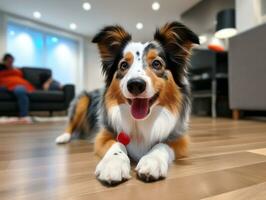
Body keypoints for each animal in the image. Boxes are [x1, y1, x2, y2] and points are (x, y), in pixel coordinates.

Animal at [55, 21, 198, 185]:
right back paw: (63, 137)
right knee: (70, 124)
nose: (135, 84)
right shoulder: (104, 135)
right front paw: (113, 165)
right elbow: (117, 143)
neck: (140, 122)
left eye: (156, 63)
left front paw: (152, 161)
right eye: (123, 65)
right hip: (82, 100)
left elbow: (161, 144)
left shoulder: (180, 139)